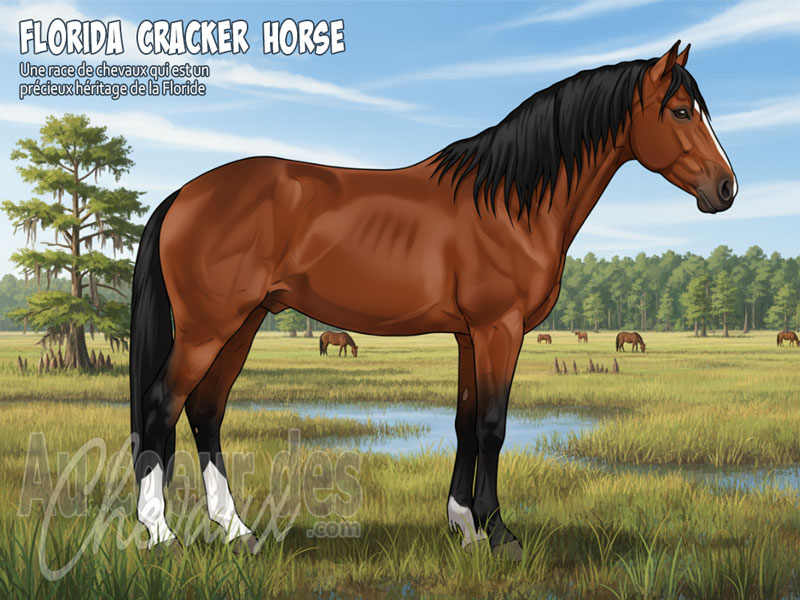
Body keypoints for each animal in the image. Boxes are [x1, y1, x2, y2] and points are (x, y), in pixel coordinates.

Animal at [130, 41, 735, 559]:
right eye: (682, 111)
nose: (726, 188)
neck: (509, 203)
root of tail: (184, 193)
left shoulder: (471, 334)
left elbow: (466, 422)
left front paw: (464, 527)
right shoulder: (499, 328)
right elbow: (492, 425)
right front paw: (500, 534)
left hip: (244, 323)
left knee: (207, 411)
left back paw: (238, 531)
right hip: (209, 327)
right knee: (163, 405)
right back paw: (161, 535)